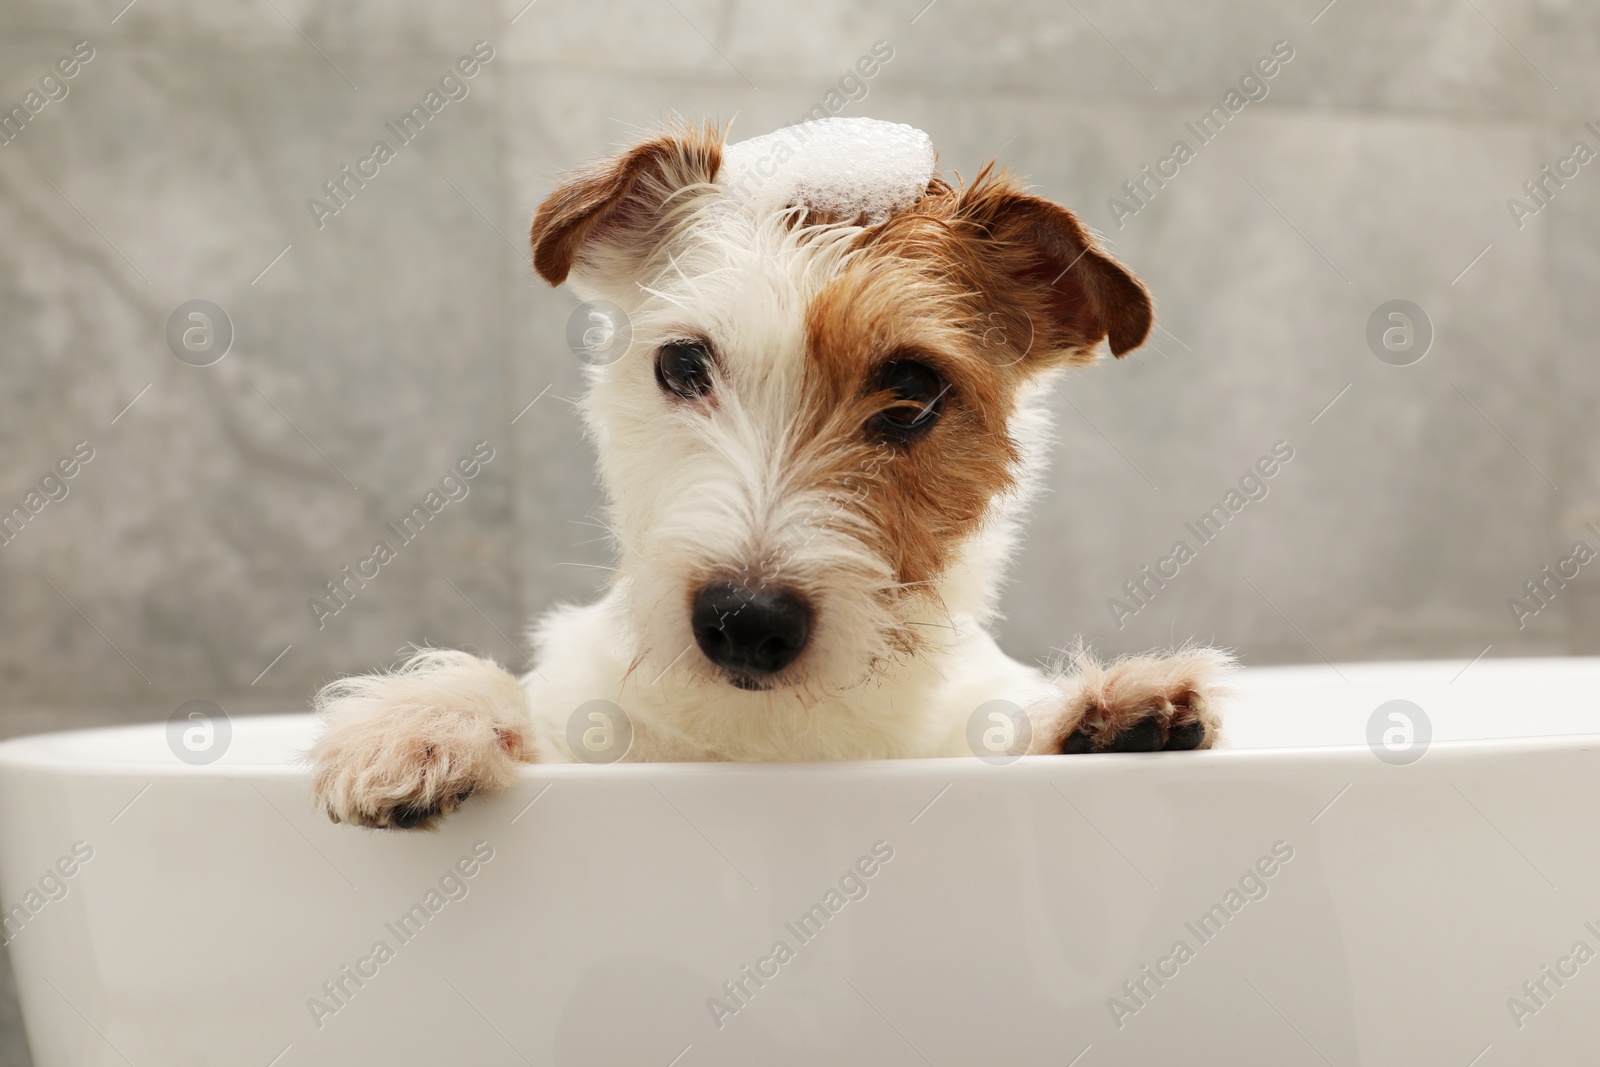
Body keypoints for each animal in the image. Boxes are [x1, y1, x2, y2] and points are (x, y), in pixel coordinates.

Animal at [312, 119, 1235, 831]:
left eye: (912, 393)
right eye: (684, 364)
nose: (745, 620)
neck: (771, 735)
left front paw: (1098, 714)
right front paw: (429, 719)